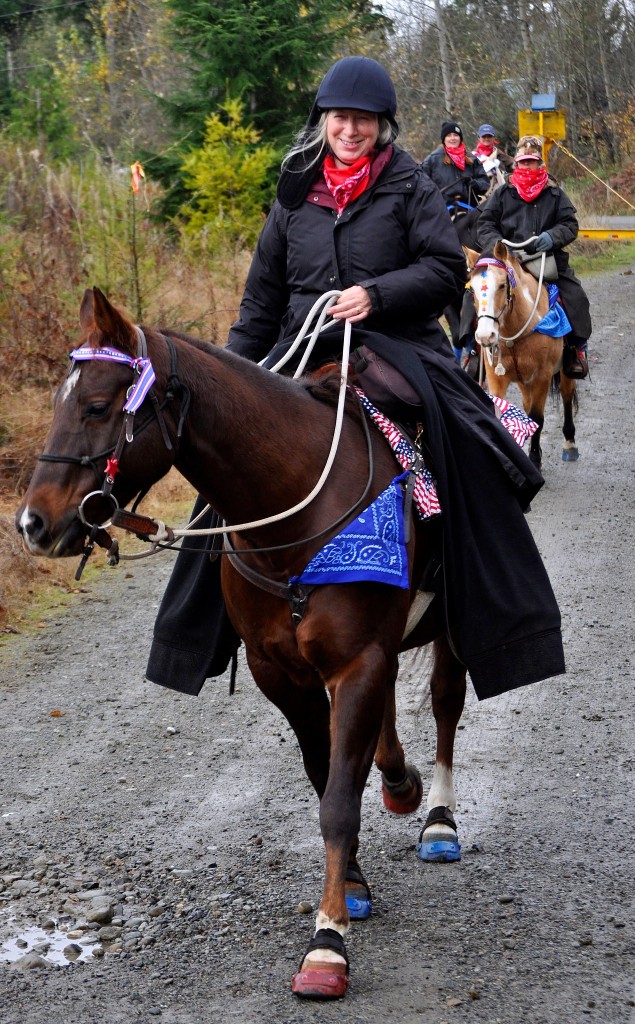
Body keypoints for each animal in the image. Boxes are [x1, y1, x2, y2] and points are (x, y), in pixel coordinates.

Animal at [15, 287, 468, 1000]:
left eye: (97, 406)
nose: (32, 524)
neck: (297, 507)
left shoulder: (355, 662)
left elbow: (339, 803)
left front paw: (327, 944)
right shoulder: (281, 671)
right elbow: (326, 778)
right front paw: (353, 884)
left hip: (448, 623)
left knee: (446, 702)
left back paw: (440, 822)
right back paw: (400, 782)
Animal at [466, 240, 579, 467]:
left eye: (502, 285)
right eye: (472, 290)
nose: (485, 336)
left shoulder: (541, 377)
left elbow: (537, 418)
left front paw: (534, 459)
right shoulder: (496, 378)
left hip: (564, 370)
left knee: (566, 394)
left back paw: (570, 443)